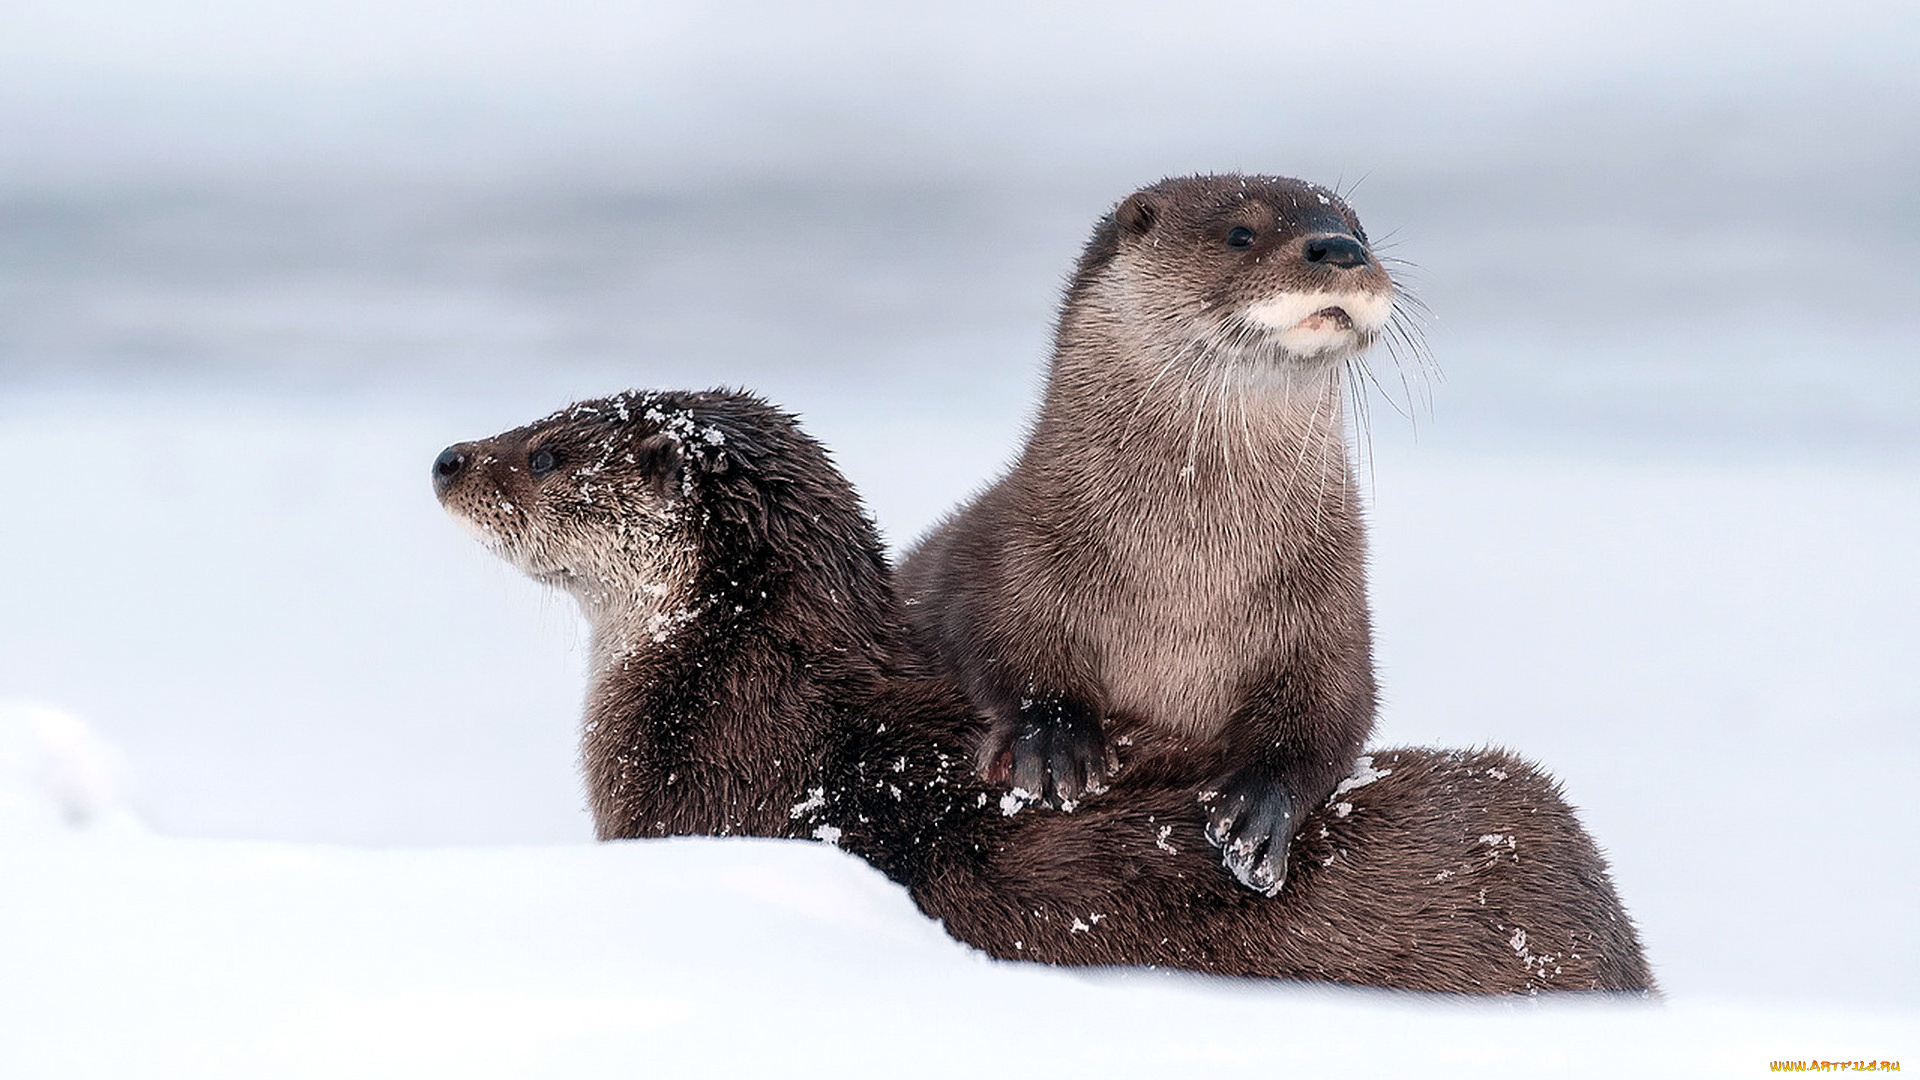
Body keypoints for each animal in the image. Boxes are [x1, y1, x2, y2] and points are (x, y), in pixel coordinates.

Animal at [898, 171, 1413, 891]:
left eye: (1359, 230)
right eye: (1241, 233)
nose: (1340, 249)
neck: (1188, 572)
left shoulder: (1328, 610)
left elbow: (1335, 713)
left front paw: (1259, 809)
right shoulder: (1008, 557)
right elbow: (990, 638)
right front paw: (1054, 743)